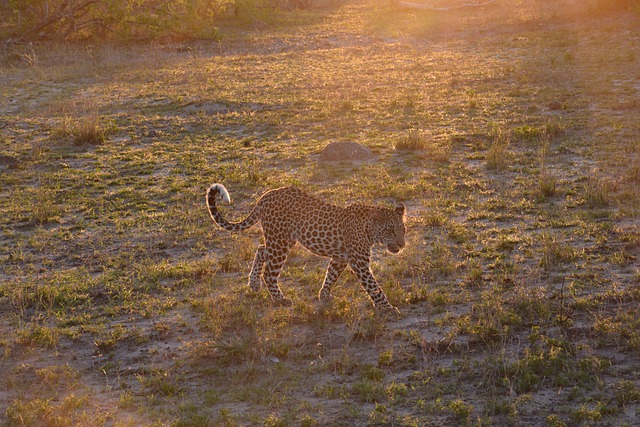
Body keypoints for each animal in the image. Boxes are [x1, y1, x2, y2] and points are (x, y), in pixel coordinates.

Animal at [206, 184, 406, 312]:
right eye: (390, 230)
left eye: (403, 230)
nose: (402, 244)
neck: (368, 229)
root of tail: (265, 196)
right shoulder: (359, 263)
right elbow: (374, 287)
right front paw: (388, 308)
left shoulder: (340, 258)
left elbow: (331, 276)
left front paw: (324, 296)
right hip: (280, 242)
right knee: (269, 273)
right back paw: (280, 300)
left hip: (281, 240)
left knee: (261, 249)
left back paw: (254, 284)